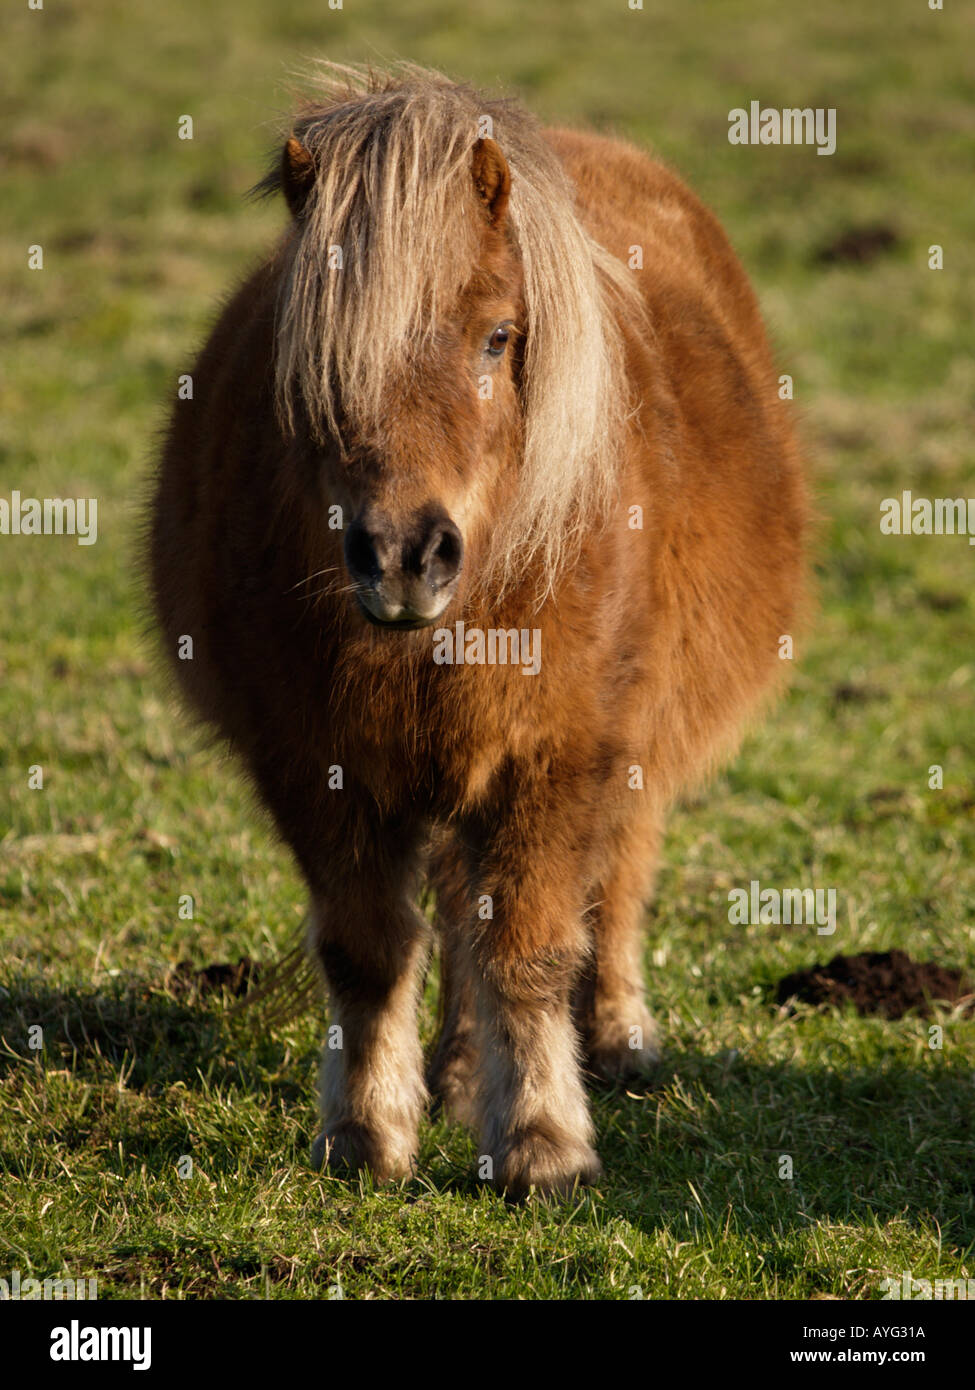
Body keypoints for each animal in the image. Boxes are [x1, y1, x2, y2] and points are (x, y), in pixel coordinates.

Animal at [148, 62, 806, 1195]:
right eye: (315, 357)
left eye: (498, 337)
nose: (404, 553)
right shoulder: (314, 764)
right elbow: (369, 948)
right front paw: (367, 1133)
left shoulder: (561, 753)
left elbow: (532, 947)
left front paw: (543, 1144)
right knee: (460, 909)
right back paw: (456, 1077)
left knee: (616, 878)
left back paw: (618, 1038)